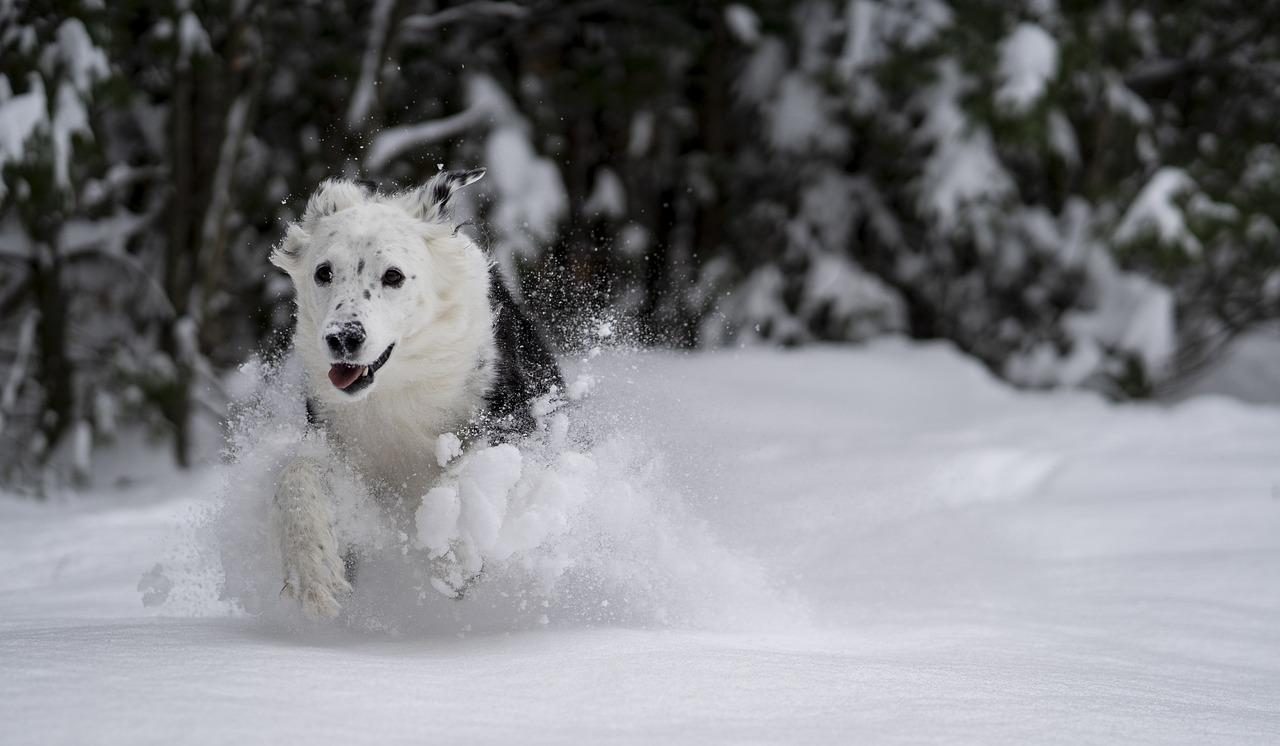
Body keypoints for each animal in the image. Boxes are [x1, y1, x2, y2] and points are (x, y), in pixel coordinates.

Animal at [268, 172, 560, 621]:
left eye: (393, 276)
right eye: (323, 272)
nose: (343, 338)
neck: (397, 386)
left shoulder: (515, 421)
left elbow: (467, 470)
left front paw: (453, 555)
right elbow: (296, 473)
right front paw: (313, 570)